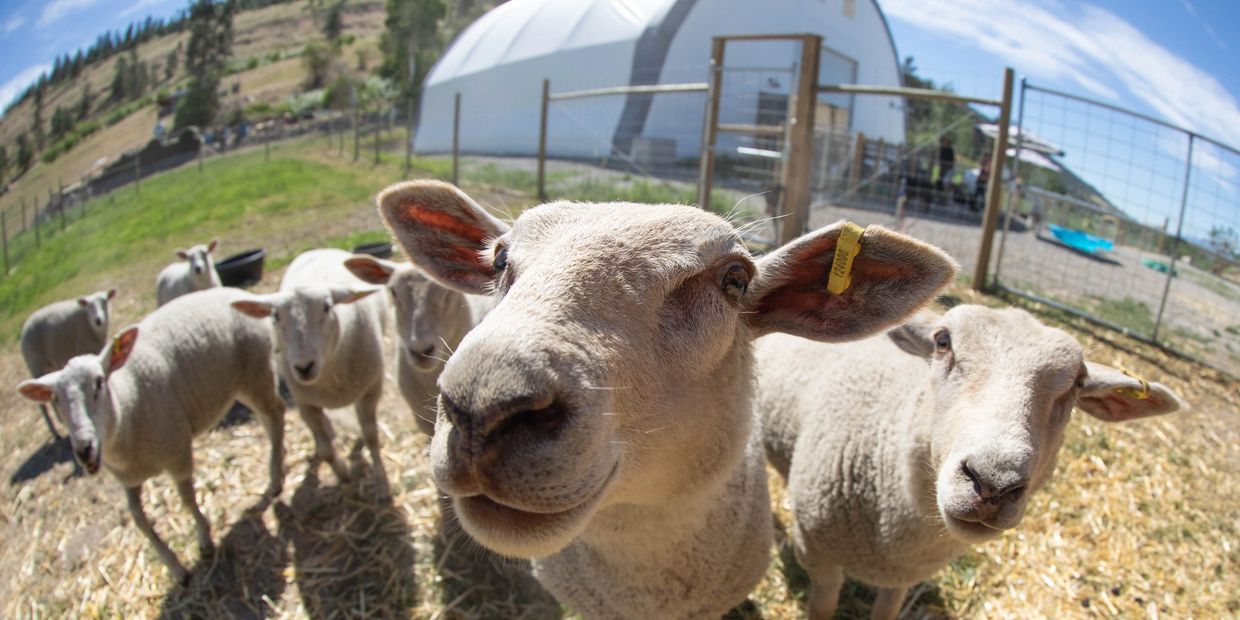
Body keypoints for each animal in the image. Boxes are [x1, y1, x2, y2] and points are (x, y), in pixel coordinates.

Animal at [20, 288, 117, 440]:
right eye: (89, 306)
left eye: (105, 301)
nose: (98, 320)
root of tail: (24, 328)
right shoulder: (83, 348)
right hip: (35, 363)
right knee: (42, 404)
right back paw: (55, 433)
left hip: (48, 365)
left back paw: (61, 420)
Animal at [230, 248, 392, 500]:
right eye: (276, 317)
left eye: (326, 307)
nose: (303, 367)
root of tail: (320, 250)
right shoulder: (305, 403)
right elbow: (325, 451)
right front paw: (343, 474)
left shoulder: (371, 390)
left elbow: (371, 436)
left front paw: (382, 484)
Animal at [758, 304, 1187, 620]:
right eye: (943, 341)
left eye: (1077, 383)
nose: (993, 482)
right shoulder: (816, 552)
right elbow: (823, 605)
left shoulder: (905, 575)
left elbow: (887, 610)